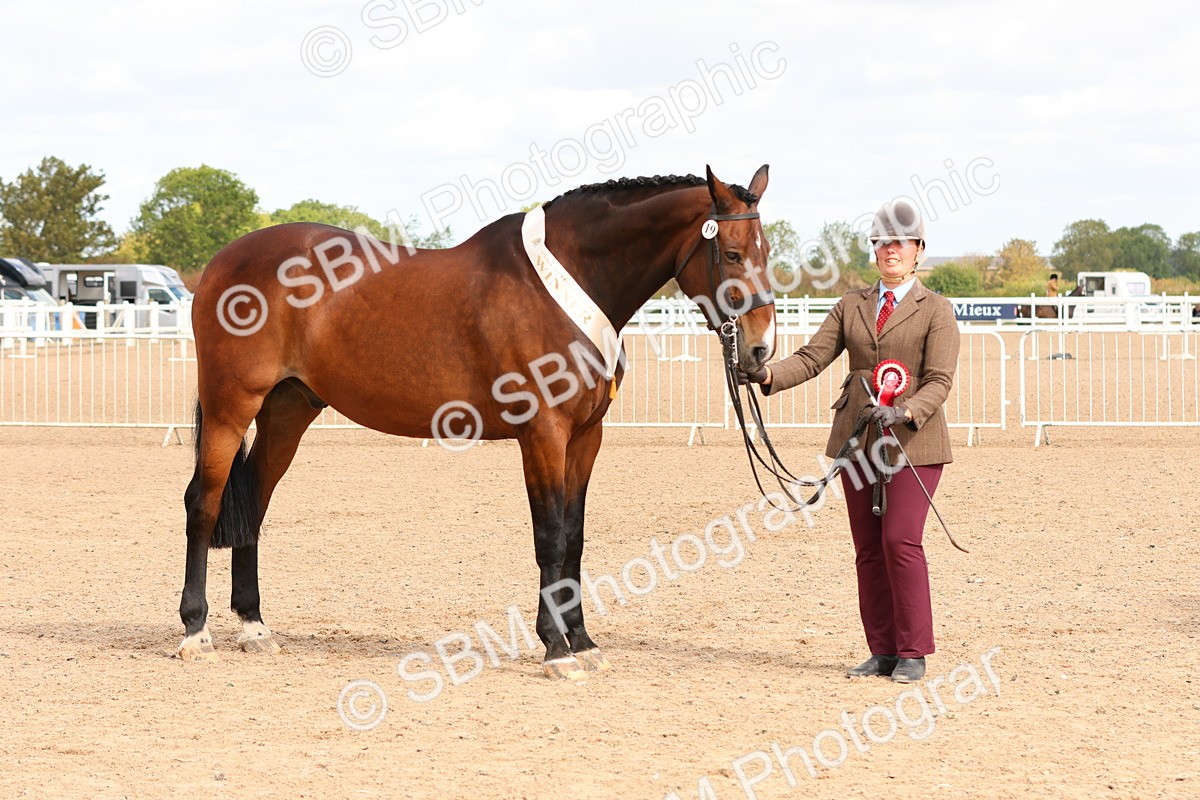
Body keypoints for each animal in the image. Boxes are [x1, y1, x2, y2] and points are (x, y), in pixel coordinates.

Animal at [180, 166, 776, 681]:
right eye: (731, 252)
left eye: (768, 252)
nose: (760, 351)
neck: (564, 284)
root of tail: (220, 263)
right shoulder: (543, 435)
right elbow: (550, 537)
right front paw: (556, 650)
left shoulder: (586, 437)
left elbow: (576, 537)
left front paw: (583, 642)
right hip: (231, 407)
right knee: (204, 504)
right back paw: (195, 632)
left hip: (287, 411)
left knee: (254, 503)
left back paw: (255, 628)